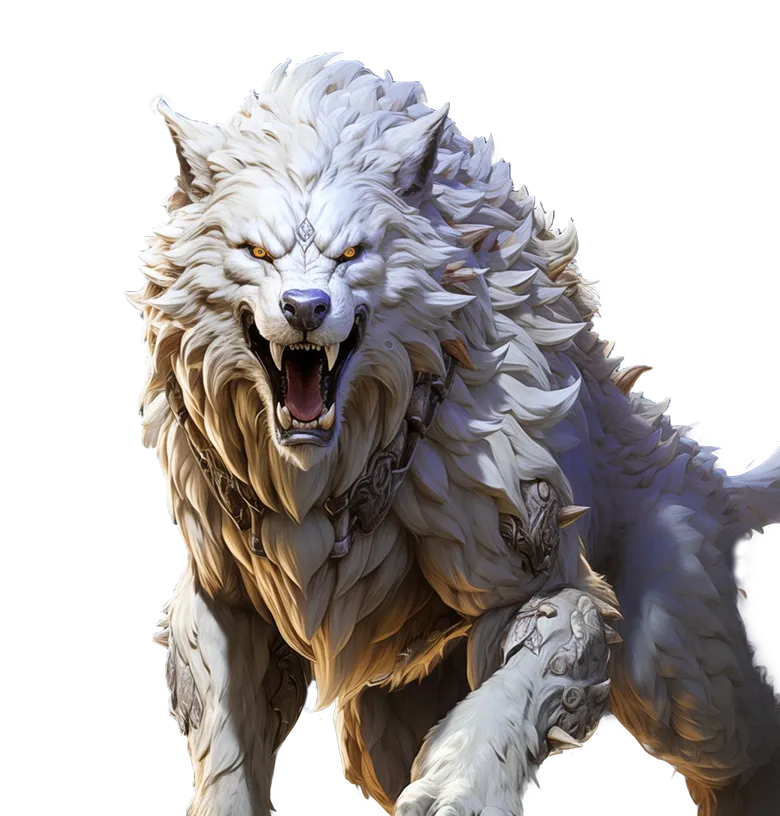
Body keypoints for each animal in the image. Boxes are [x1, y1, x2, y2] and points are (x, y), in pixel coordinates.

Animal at [132, 53, 780, 815]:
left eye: (353, 252)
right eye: (257, 251)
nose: (305, 307)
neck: (323, 470)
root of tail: (688, 462)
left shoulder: (526, 554)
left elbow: (551, 641)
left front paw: (463, 786)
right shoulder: (227, 587)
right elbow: (224, 720)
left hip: (672, 661)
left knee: (733, 732)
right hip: (388, 720)